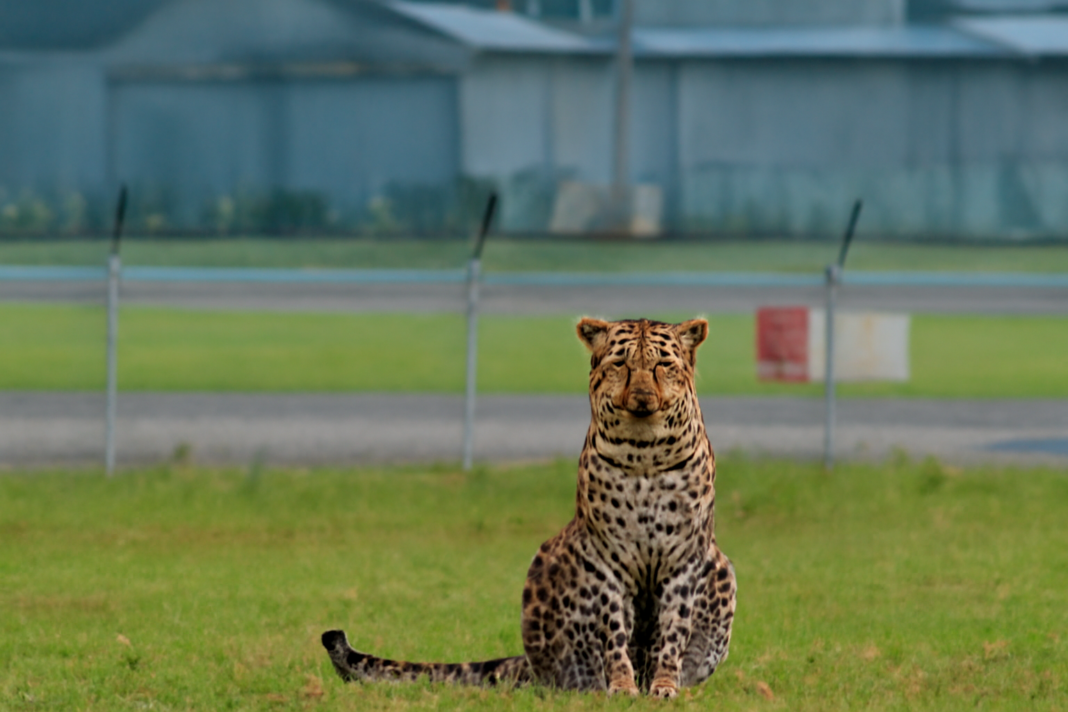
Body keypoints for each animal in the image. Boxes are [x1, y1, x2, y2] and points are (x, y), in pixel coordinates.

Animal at [322, 317, 736, 699]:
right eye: (621, 364)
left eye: (663, 365)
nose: (642, 398)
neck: (644, 452)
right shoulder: (607, 558)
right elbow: (615, 631)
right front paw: (621, 686)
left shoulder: (684, 559)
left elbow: (672, 631)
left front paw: (664, 686)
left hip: (722, 567)